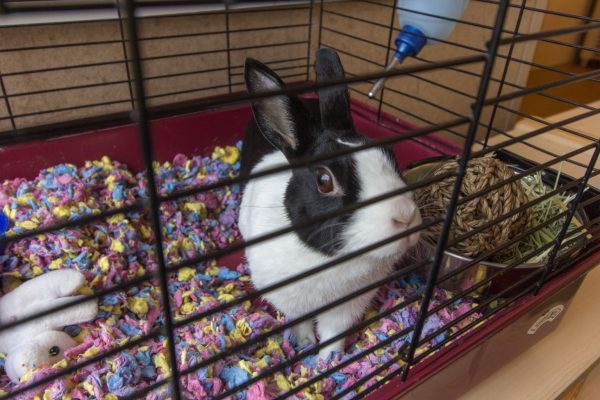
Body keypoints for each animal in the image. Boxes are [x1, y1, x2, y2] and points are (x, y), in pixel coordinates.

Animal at [237, 47, 420, 360]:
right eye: (324, 181)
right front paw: (305, 344)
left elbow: (334, 335)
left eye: (390, 156)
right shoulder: (291, 302)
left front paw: (328, 361)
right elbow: (300, 324)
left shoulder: (345, 307)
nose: (405, 216)